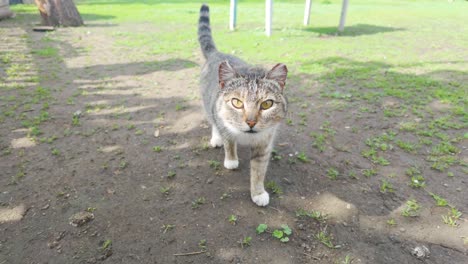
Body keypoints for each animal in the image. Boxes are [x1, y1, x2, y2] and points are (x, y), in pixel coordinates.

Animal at [197, 4, 288, 206]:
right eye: (237, 102)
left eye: (267, 104)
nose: (251, 122)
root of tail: (216, 53)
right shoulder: (225, 125)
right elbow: (229, 143)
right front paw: (231, 160)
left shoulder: (264, 143)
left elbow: (258, 171)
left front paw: (258, 192)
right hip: (208, 104)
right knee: (212, 121)